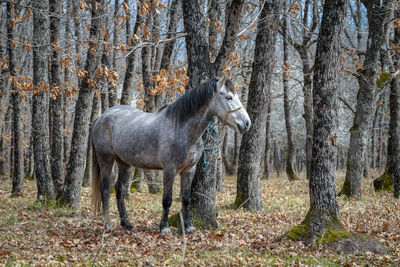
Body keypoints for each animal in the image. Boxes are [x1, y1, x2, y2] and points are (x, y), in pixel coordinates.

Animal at [92, 77, 252, 234]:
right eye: (228, 97)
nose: (246, 123)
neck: (181, 128)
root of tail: (102, 117)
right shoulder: (169, 169)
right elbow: (167, 200)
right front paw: (164, 228)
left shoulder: (189, 170)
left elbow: (186, 199)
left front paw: (189, 227)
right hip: (106, 160)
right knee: (105, 190)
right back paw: (108, 225)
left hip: (124, 163)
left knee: (119, 190)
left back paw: (127, 224)